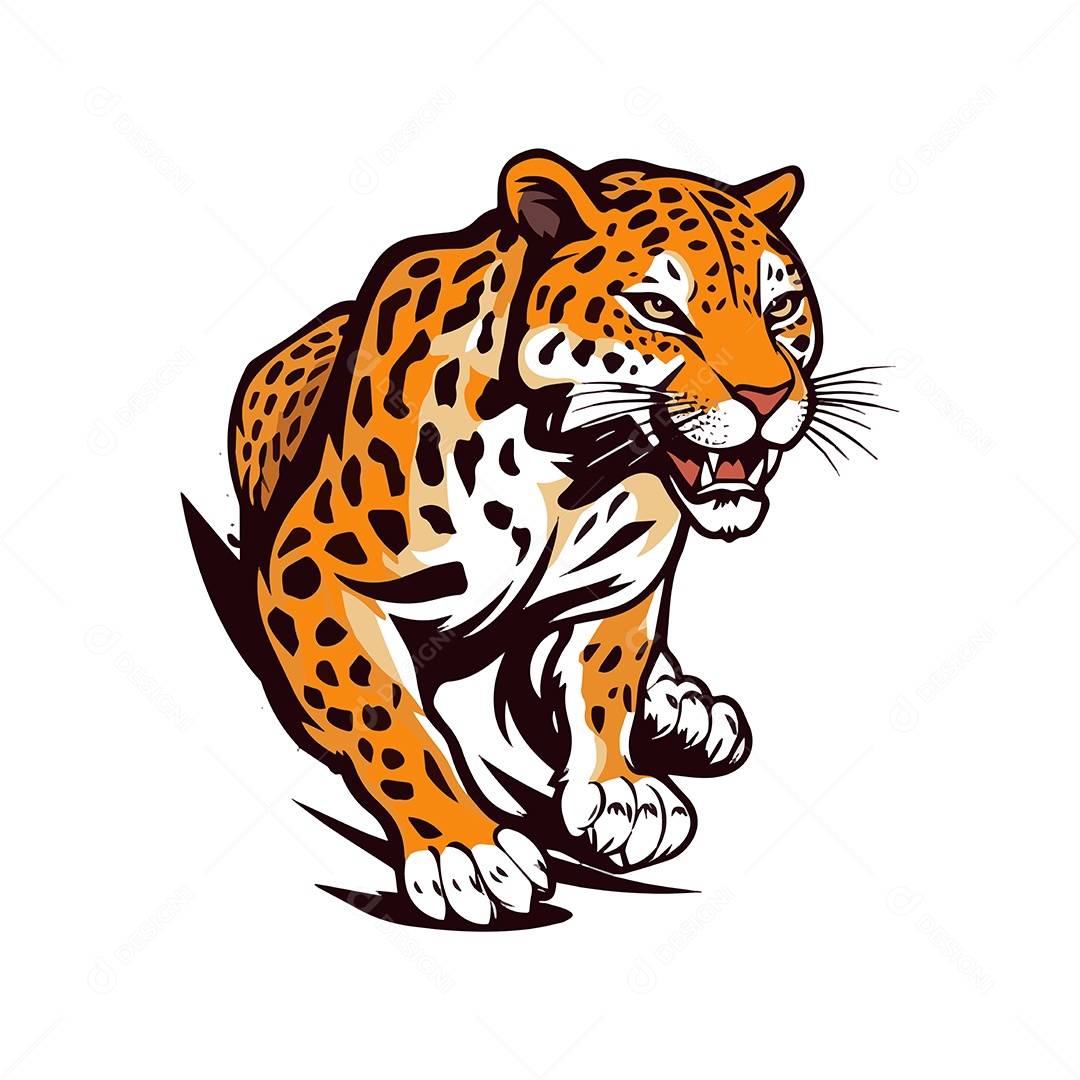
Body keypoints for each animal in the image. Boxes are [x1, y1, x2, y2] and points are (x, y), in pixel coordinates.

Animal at [185, 149, 865, 927]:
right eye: (660, 309)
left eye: (779, 308)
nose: (768, 396)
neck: (568, 470)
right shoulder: (311, 570)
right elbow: (388, 715)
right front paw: (465, 847)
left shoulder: (627, 584)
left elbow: (607, 679)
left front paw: (622, 789)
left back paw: (680, 709)